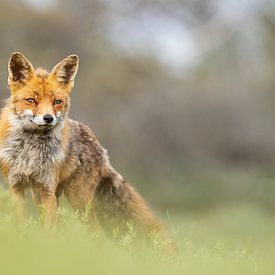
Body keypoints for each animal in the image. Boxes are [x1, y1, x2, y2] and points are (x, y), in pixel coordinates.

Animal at [0, 52, 167, 242]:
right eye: (31, 100)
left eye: (57, 101)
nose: (48, 118)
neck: (29, 152)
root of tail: (101, 149)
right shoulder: (17, 186)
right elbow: (21, 225)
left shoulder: (47, 189)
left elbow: (49, 230)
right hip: (43, 196)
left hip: (77, 199)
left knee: (97, 234)